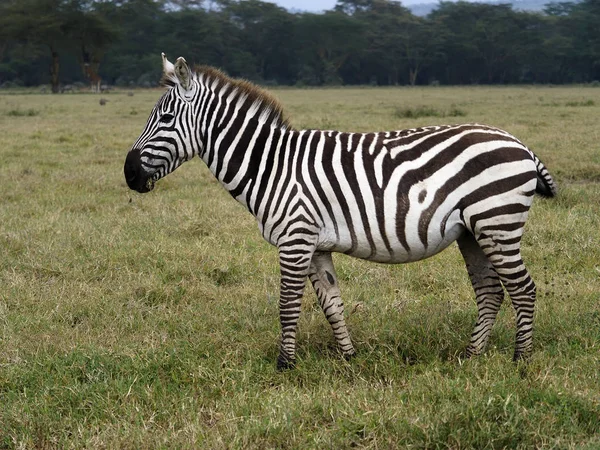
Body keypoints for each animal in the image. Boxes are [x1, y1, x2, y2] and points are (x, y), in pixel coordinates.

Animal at [123, 53, 556, 370]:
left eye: (165, 118)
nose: (128, 174)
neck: (272, 165)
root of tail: (519, 143)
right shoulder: (316, 245)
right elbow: (332, 303)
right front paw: (349, 359)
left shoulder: (295, 238)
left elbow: (287, 305)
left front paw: (284, 366)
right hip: (472, 231)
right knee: (491, 291)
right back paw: (470, 356)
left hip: (497, 221)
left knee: (523, 288)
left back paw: (520, 360)